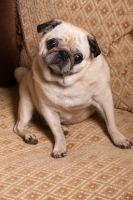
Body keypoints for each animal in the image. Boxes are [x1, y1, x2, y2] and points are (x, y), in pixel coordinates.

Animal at [14, 18, 132, 158]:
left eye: (78, 57)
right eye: (52, 43)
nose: (63, 53)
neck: (65, 81)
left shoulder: (104, 99)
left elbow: (111, 123)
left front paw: (119, 139)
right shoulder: (48, 109)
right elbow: (56, 131)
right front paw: (60, 147)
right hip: (27, 102)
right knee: (19, 126)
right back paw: (29, 136)